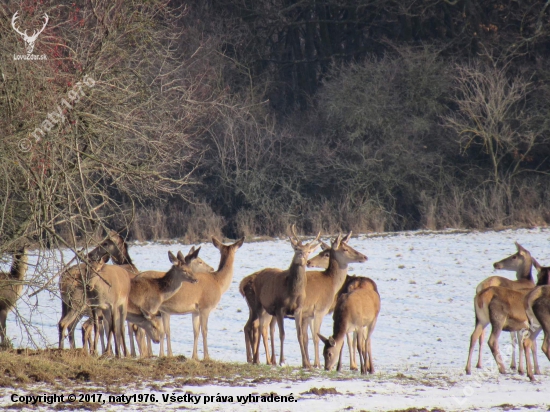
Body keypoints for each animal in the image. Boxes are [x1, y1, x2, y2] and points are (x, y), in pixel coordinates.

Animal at [251, 229, 324, 366]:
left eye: (308, 251)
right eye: (296, 249)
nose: (302, 257)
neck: (292, 292)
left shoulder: (298, 309)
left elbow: (300, 335)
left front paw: (306, 363)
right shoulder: (280, 308)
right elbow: (282, 334)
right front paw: (282, 361)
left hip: (269, 311)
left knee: (267, 328)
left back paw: (268, 360)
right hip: (259, 305)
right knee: (259, 327)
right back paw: (256, 359)